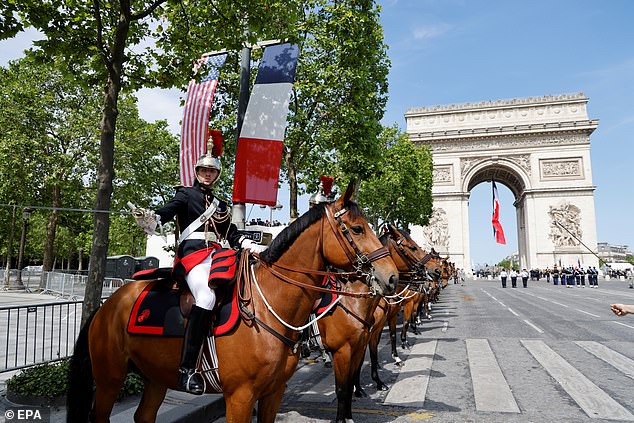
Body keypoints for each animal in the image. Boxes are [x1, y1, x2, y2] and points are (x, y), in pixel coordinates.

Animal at [65, 184, 396, 423]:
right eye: (357, 229)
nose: (391, 276)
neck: (268, 307)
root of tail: (107, 304)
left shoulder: (273, 392)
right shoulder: (240, 396)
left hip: (155, 376)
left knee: (144, 416)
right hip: (110, 378)